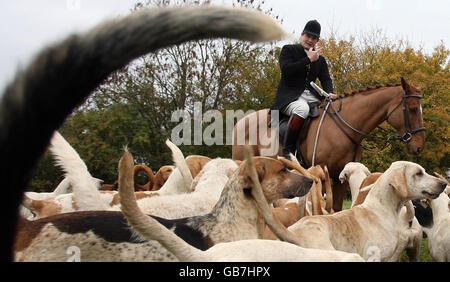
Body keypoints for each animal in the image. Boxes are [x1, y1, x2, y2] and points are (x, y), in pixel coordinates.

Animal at [232, 78, 426, 210]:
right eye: (412, 109)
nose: (419, 146)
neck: (344, 127)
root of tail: (241, 122)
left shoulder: (341, 178)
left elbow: (337, 208)